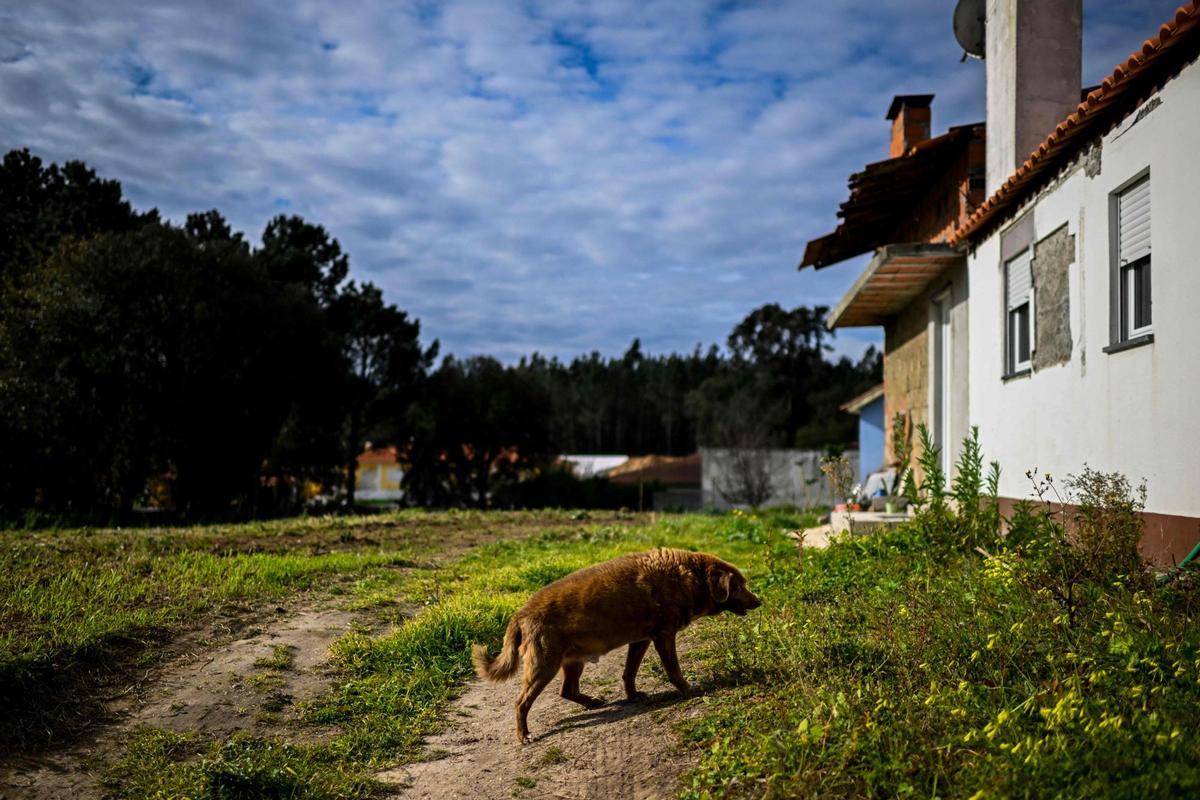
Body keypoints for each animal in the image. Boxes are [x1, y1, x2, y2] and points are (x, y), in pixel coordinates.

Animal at [468, 551, 758, 743]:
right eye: (740, 585)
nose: (760, 601)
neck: (689, 575)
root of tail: (520, 613)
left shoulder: (642, 639)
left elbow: (629, 672)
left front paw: (633, 695)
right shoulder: (664, 636)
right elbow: (673, 670)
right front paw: (688, 689)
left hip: (573, 661)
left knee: (566, 690)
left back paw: (591, 702)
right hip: (544, 665)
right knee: (521, 702)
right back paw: (524, 735)